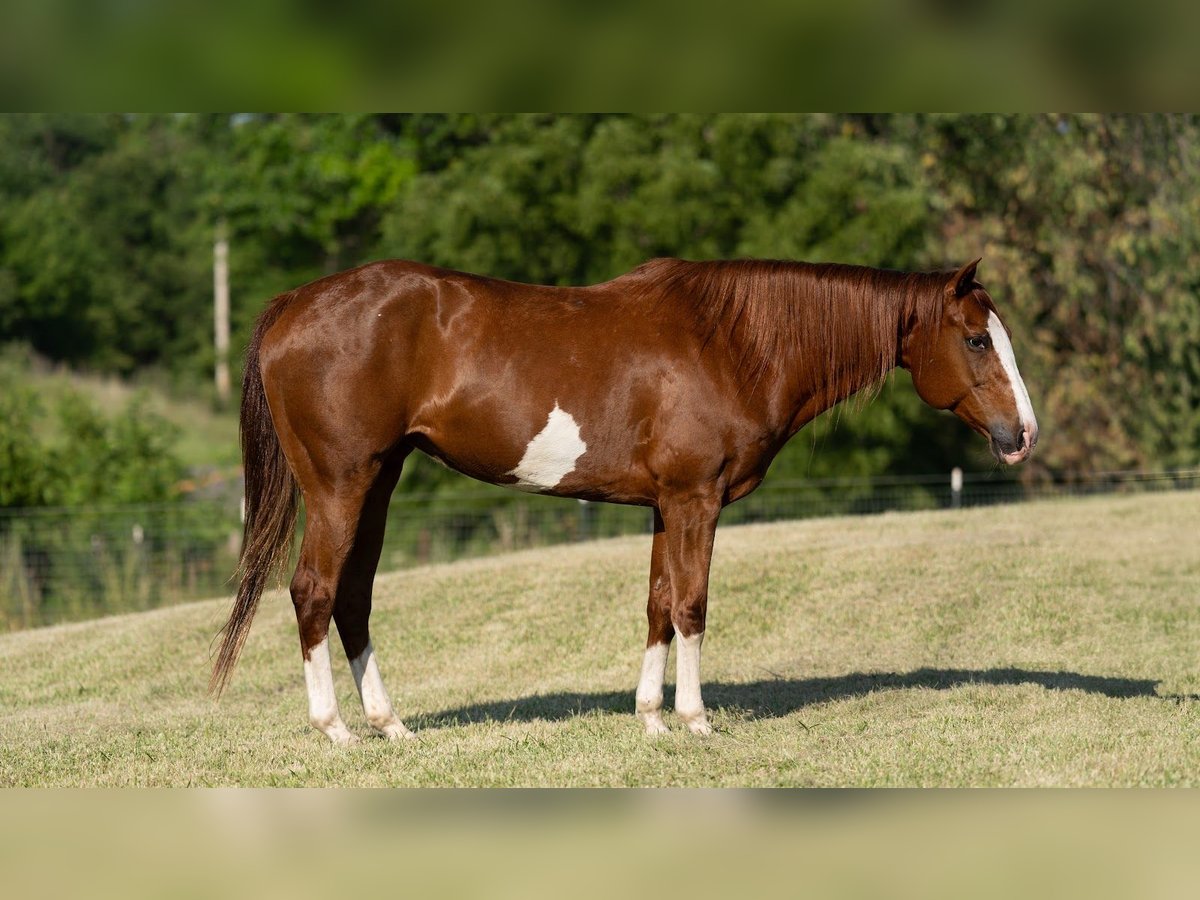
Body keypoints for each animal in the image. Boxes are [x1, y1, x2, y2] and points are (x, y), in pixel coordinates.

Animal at [211, 256, 1038, 744]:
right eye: (976, 339)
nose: (1023, 434)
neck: (733, 341)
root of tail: (293, 303)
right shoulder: (696, 500)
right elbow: (693, 604)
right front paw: (696, 721)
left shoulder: (665, 505)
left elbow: (657, 605)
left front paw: (651, 720)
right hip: (340, 486)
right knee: (313, 591)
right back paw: (335, 730)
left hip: (379, 482)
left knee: (352, 597)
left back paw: (390, 725)